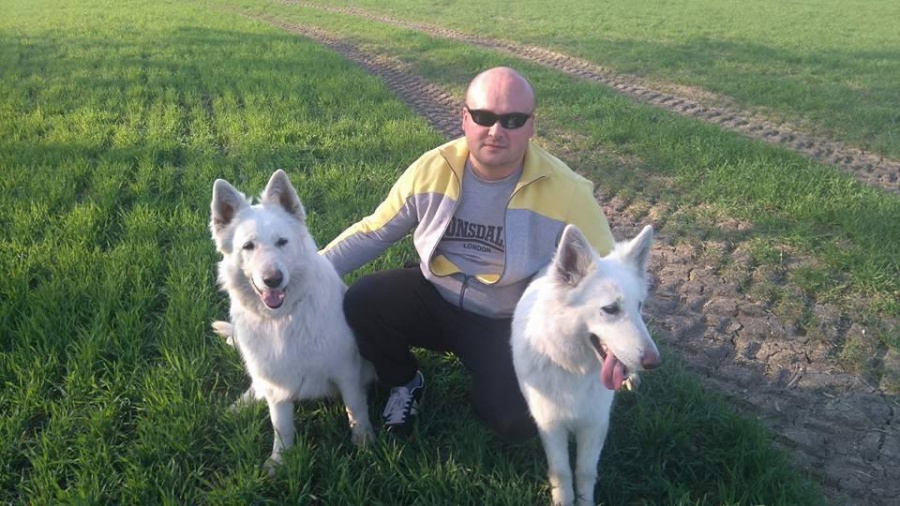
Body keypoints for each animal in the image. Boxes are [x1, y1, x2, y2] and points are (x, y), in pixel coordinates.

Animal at [209, 169, 374, 473]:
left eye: (282, 242)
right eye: (248, 246)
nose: (272, 279)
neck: (281, 319)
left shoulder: (346, 371)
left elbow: (355, 408)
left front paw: (364, 442)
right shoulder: (277, 388)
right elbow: (281, 426)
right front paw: (280, 461)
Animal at [511, 224, 660, 506]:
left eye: (639, 306)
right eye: (610, 309)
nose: (653, 362)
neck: (574, 369)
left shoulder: (595, 425)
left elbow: (585, 471)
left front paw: (584, 500)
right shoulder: (551, 426)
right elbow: (561, 472)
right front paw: (564, 500)